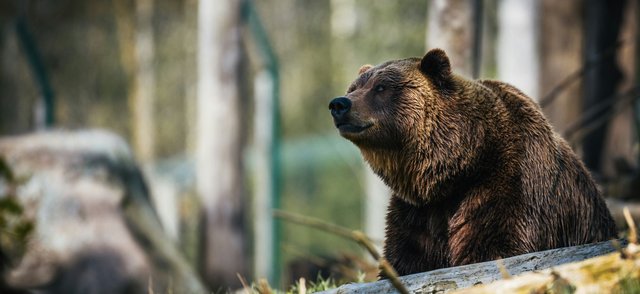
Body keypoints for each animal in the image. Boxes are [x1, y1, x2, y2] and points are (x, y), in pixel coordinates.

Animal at [328, 48, 616, 276]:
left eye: (381, 87)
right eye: (354, 88)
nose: (339, 104)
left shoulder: (508, 185)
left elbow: (494, 247)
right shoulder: (418, 213)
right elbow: (406, 259)